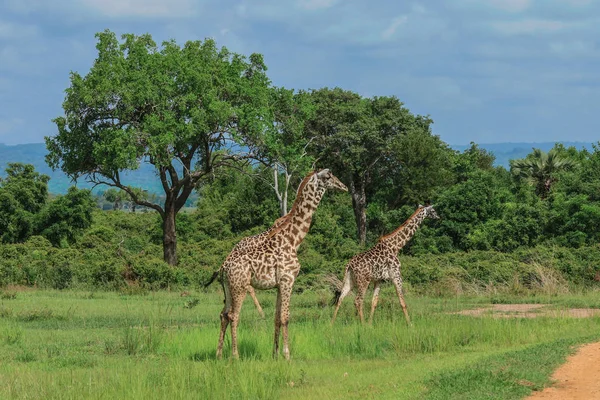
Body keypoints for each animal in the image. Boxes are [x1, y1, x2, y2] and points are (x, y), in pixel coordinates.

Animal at [216, 169, 350, 360]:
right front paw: (287, 355)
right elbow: (286, 317)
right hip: (239, 287)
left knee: (224, 315)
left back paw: (219, 354)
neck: (293, 240)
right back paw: (235, 356)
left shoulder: (279, 284)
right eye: (328, 176)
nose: (344, 187)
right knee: (234, 315)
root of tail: (223, 268)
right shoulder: (288, 280)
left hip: (228, 288)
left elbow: (277, 318)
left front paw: (275, 354)